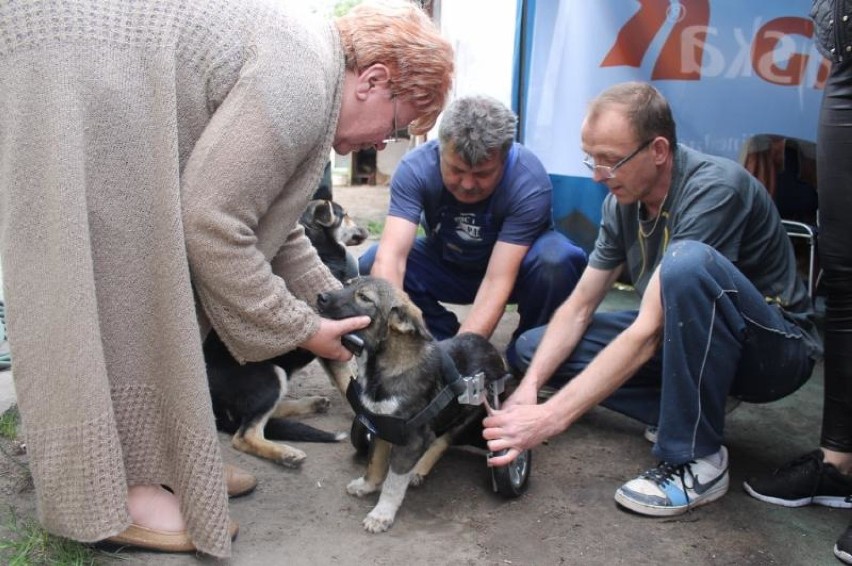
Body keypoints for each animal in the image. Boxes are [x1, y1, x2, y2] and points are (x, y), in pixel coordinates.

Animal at [206, 200, 366, 470]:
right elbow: (348, 383)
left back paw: (312, 404)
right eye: (345, 215)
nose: (365, 230)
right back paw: (285, 453)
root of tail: (213, 405)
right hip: (270, 375)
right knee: (245, 435)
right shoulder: (334, 343)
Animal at [316, 278, 510, 536]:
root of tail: (494, 353)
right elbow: (374, 462)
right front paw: (367, 485)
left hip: (472, 412)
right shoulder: (381, 425)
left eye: (364, 298)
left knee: (441, 440)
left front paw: (381, 513)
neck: (382, 368)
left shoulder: (411, 439)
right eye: (347, 284)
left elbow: (393, 481)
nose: (320, 297)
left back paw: (419, 467)